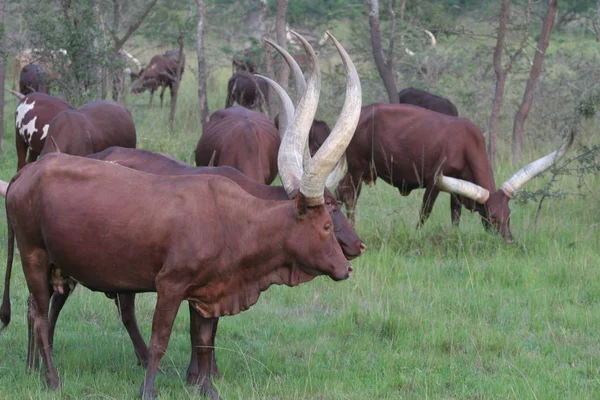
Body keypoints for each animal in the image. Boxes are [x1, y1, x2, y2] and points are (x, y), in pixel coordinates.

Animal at [0, 32, 360, 400]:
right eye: (327, 222)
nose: (348, 263)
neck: (234, 220)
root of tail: (26, 173)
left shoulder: (208, 291)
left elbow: (203, 340)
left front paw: (207, 388)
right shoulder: (171, 285)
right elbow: (162, 339)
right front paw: (150, 390)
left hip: (61, 266)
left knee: (44, 309)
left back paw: (36, 369)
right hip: (33, 256)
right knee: (40, 312)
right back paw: (51, 377)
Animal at [336, 101, 576, 242]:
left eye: (509, 215)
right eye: (492, 217)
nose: (509, 241)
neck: (466, 144)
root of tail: (359, 114)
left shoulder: (457, 189)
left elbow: (455, 214)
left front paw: (455, 235)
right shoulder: (434, 183)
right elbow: (425, 211)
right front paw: (417, 234)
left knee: (340, 191)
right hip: (357, 167)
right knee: (350, 196)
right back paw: (352, 227)